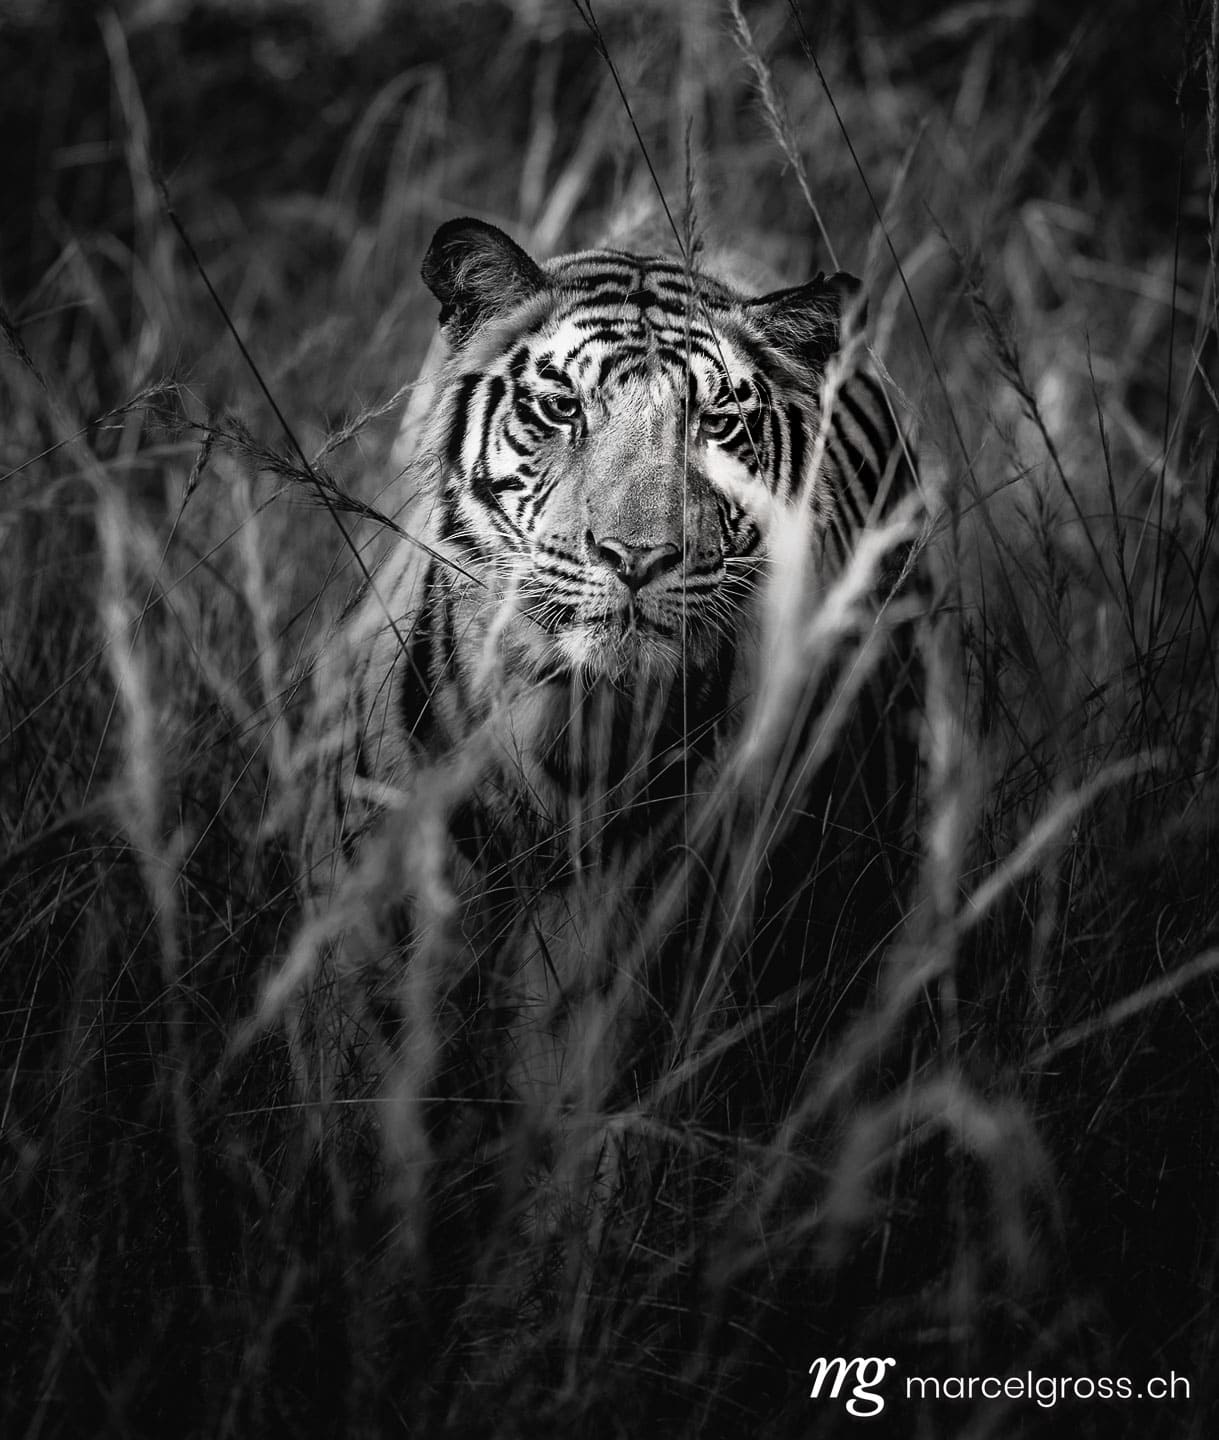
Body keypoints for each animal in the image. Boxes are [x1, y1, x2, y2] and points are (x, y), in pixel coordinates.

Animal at [292, 216, 925, 1208]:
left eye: (716, 424)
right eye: (561, 409)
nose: (636, 555)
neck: (565, 737)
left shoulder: (611, 1021)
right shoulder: (362, 997)